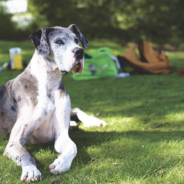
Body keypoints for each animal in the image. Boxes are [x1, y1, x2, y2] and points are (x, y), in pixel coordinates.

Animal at [0, 24, 106, 181]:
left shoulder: (61, 135)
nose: (79, 52)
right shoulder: (14, 143)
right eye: (58, 42)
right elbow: (26, 154)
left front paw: (61, 163)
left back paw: (91, 121)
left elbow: (73, 147)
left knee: (75, 109)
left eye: (76, 40)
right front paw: (31, 170)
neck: (49, 83)